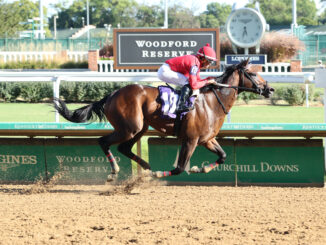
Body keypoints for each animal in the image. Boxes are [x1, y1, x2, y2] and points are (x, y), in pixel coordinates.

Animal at [54, 59, 274, 180]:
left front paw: (200, 167)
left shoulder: (207, 139)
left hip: (140, 128)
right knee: (104, 141)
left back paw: (146, 168)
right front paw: (162, 174)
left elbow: (223, 156)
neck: (211, 102)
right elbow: (179, 168)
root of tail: (111, 94)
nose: (270, 89)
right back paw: (116, 171)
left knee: (124, 148)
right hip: (130, 128)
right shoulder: (191, 140)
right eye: (253, 73)